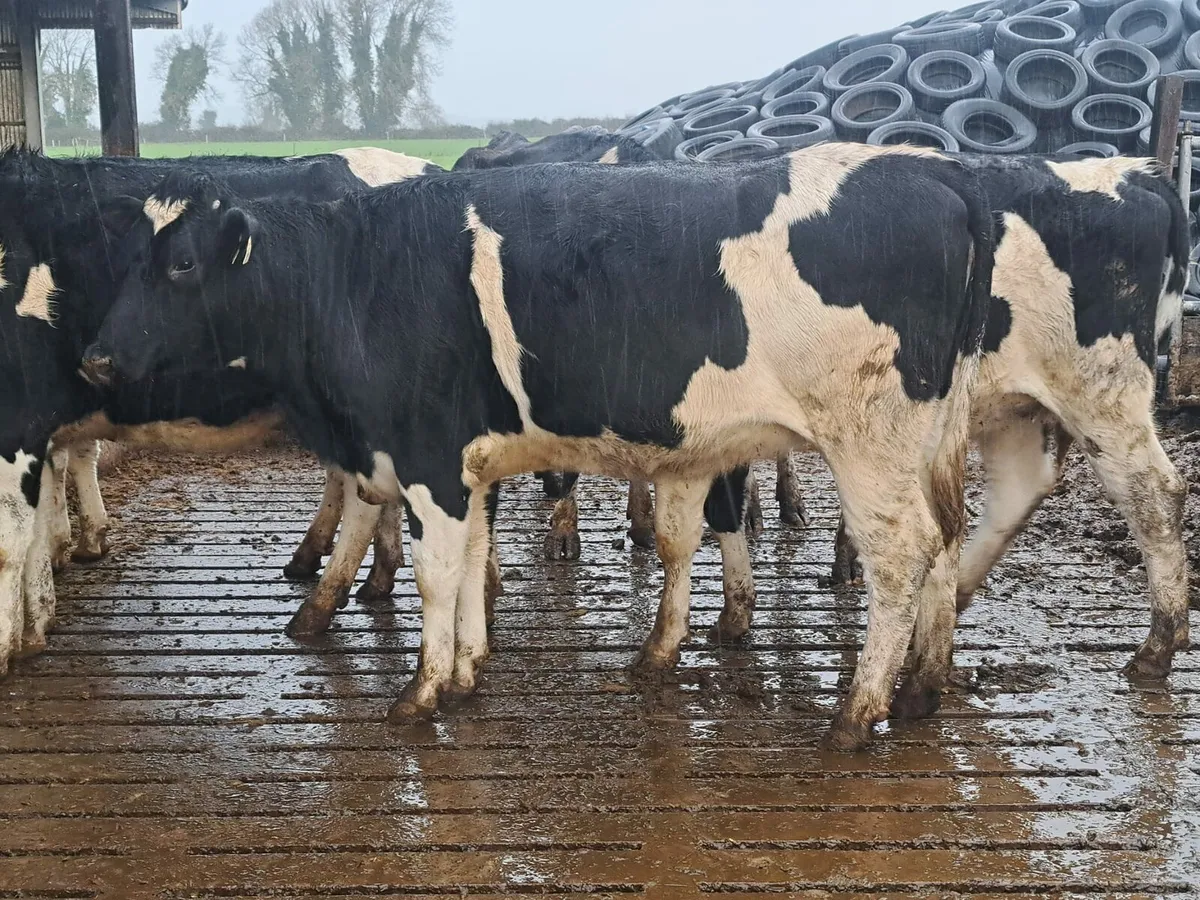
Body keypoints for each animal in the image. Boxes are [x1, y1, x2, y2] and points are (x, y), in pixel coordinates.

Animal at [0, 146, 441, 676]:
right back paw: (370, 574)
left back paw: (319, 603)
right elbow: (40, 518)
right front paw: (37, 618)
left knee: (361, 499)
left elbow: (12, 539)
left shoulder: (19, 422)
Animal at [84, 141, 995, 751]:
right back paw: (922, 688)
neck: (356, 275)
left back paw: (857, 711)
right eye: (133, 259)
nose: (95, 356)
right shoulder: (465, 464)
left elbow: (436, 573)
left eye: (184, 265)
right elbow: (470, 561)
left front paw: (423, 689)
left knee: (899, 555)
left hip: (867, 441)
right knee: (947, 539)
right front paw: (466, 670)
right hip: (926, 441)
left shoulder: (427, 458)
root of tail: (936, 172)